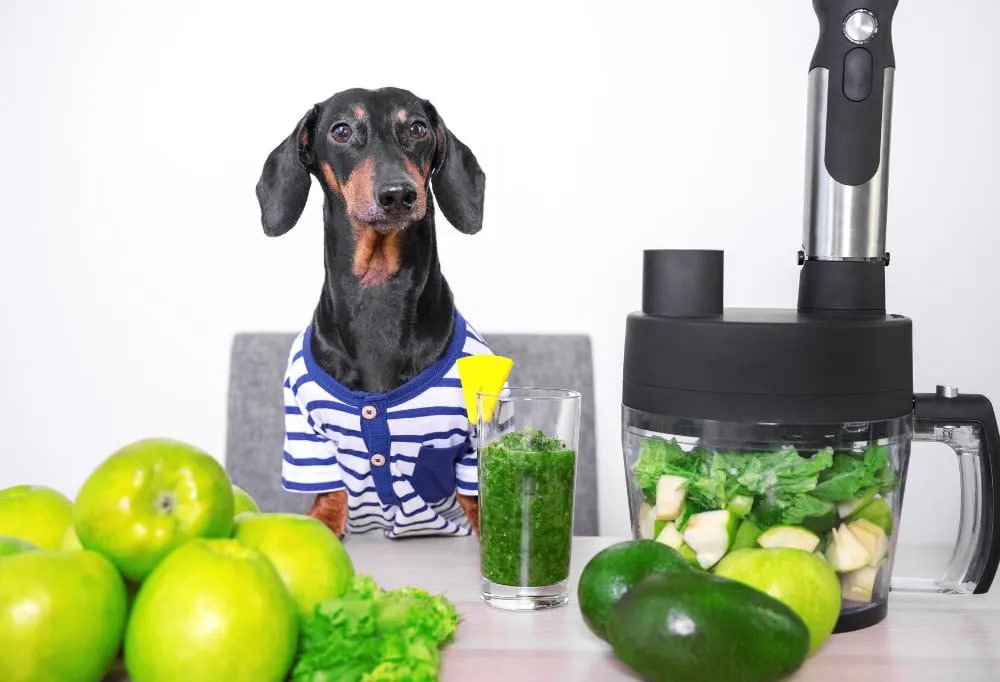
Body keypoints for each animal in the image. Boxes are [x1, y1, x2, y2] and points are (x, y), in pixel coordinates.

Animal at [258, 87, 488, 536]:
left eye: (417, 128)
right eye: (341, 130)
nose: (398, 194)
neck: (378, 290)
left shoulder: (473, 430)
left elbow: (476, 491)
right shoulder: (305, 429)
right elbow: (330, 489)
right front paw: (324, 520)